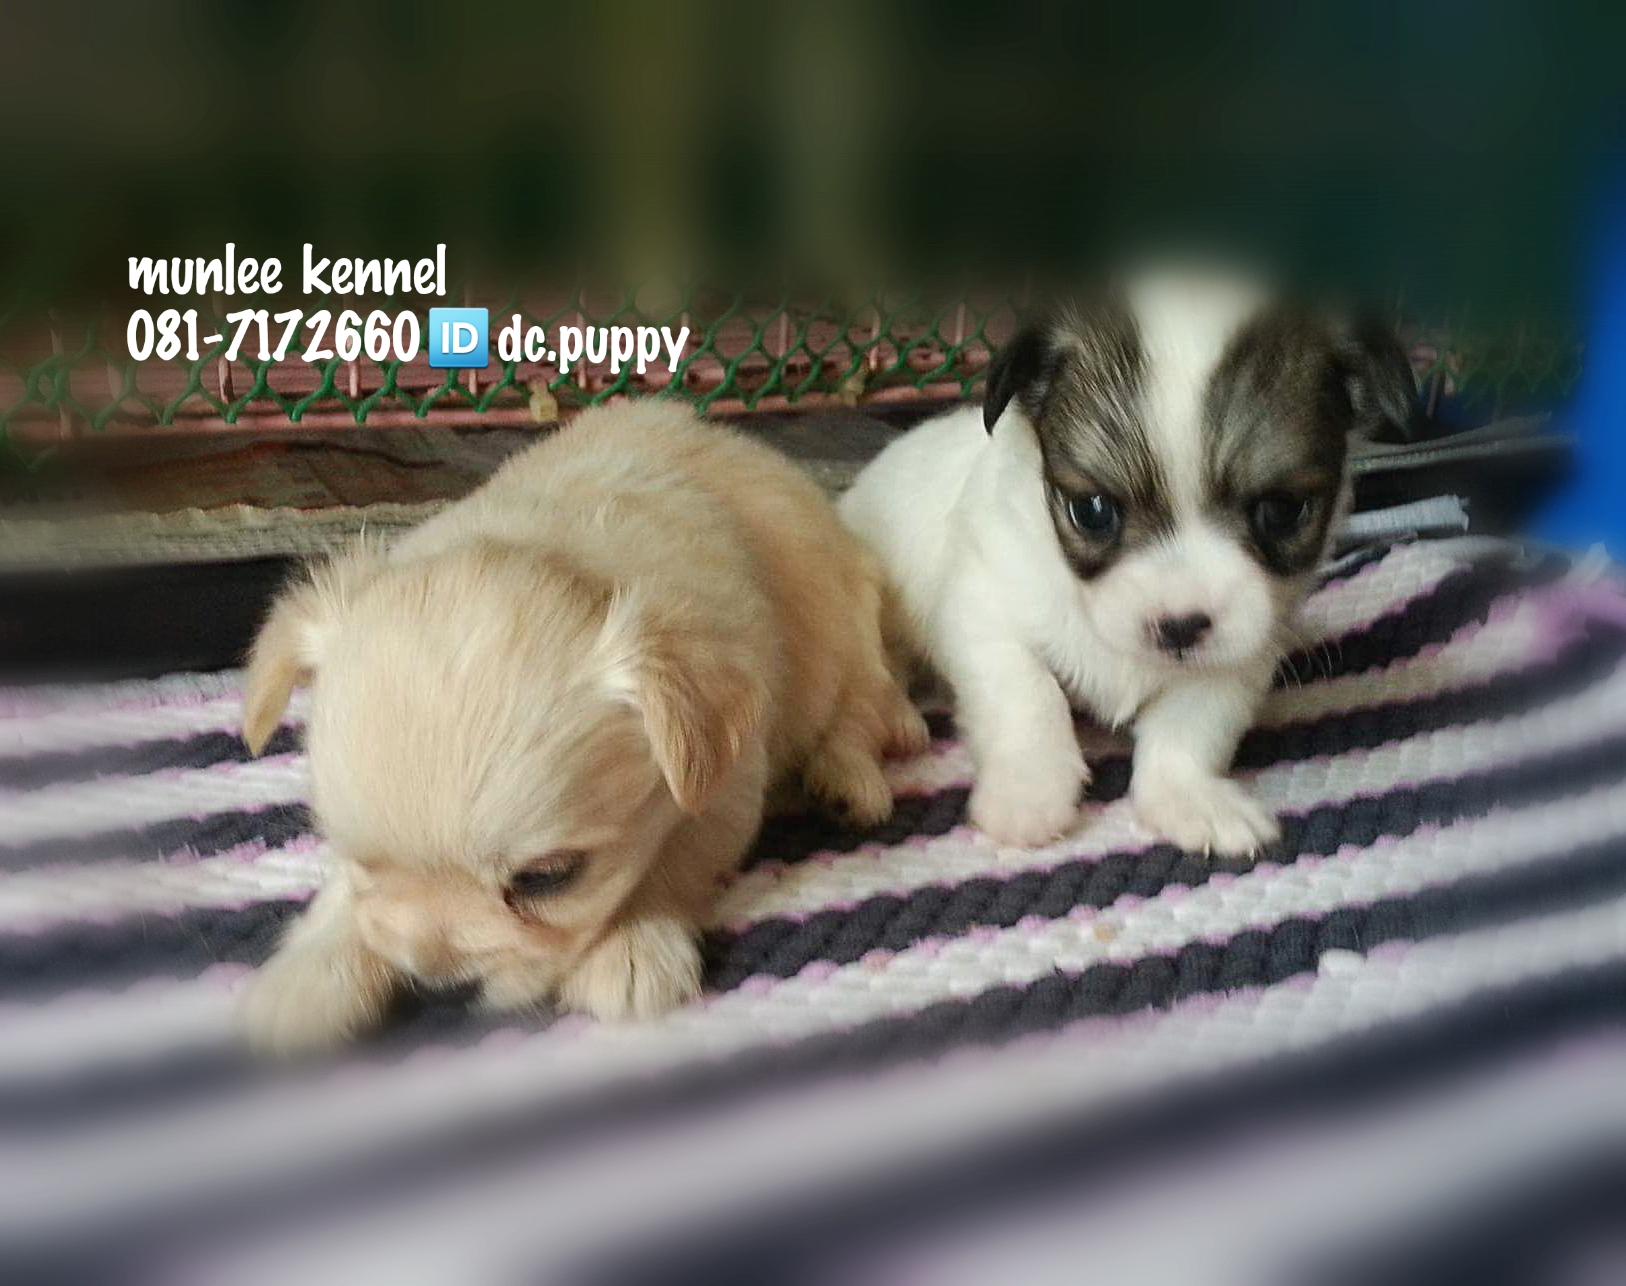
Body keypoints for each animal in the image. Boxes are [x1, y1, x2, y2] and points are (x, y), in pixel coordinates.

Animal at [239, 401, 927, 1054]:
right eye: (363, 864)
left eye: (546, 879)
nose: (439, 989)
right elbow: (344, 904)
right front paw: (309, 974)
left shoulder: (726, 781)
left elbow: (671, 861)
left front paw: (629, 946)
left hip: (846, 634)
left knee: (862, 710)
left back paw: (846, 783)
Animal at [839, 266, 1414, 852]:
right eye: (1092, 510)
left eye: (1280, 511)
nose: (1179, 626)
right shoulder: (985, 610)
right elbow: (1028, 695)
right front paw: (1030, 794)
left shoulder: (1241, 653)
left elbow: (1193, 723)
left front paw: (1188, 798)